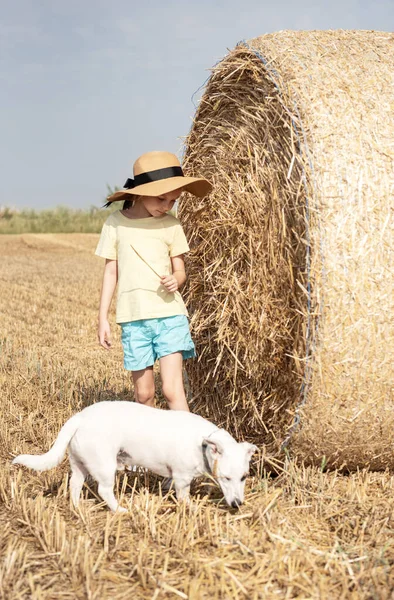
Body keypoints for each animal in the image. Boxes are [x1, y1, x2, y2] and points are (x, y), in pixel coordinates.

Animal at [12, 400, 258, 512]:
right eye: (226, 478)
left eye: (244, 477)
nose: (237, 504)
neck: (203, 444)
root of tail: (79, 417)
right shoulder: (182, 478)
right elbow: (184, 497)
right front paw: (193, 508)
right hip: (105, 466)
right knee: (104, 490)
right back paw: (119, 510)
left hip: (79, 464)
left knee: (74, 485)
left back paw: (78, 507)